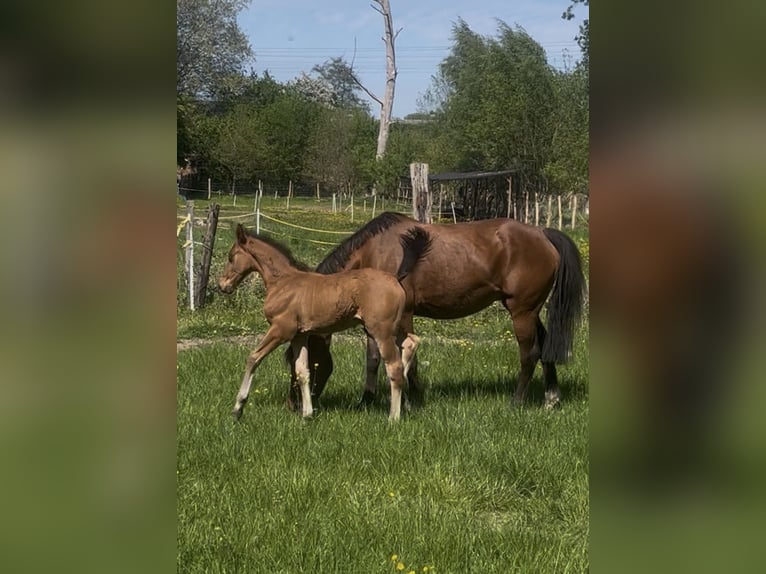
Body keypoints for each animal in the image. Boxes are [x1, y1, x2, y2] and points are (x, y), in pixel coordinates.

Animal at [217, 223, 432, 421]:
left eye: (231, 256)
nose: (222, 285)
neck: (283, 282)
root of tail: (396, 278)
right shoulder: (299, 335)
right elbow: (302, 371)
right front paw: (307, 414)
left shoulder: (281, 329)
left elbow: (253, 358)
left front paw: (238, 408)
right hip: (394, 327)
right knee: (411, 343)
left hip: (381, 330)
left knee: (394, 366)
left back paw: (393, 417)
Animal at [289, 212, 586, 410]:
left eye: (304, 359)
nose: (294, 404)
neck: (376, 253)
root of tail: (543, 233)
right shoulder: (374, 319)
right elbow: (373, 359)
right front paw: (367, 401)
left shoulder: (403, 316)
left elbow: (408, 359)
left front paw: (413, 401)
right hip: (530, 310)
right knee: (545, 347)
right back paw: (551, 399)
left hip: (522, 310)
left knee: (530, 353)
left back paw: (516, 401)